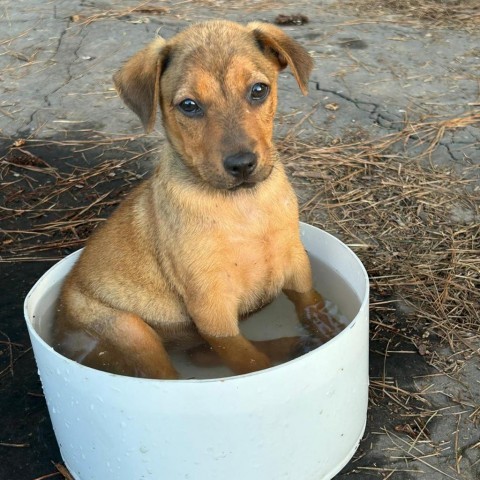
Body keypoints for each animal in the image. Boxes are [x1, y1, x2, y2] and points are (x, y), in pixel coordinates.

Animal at [54, 19, 344, 378]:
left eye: (258, 90)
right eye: (189, 106)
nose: (242, 164)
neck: (243, 206)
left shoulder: (296, 264)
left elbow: (311, 301)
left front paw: (330, 327)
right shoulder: (211, 306)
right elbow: (245, 359)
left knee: (199, 356)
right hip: (128, 329)